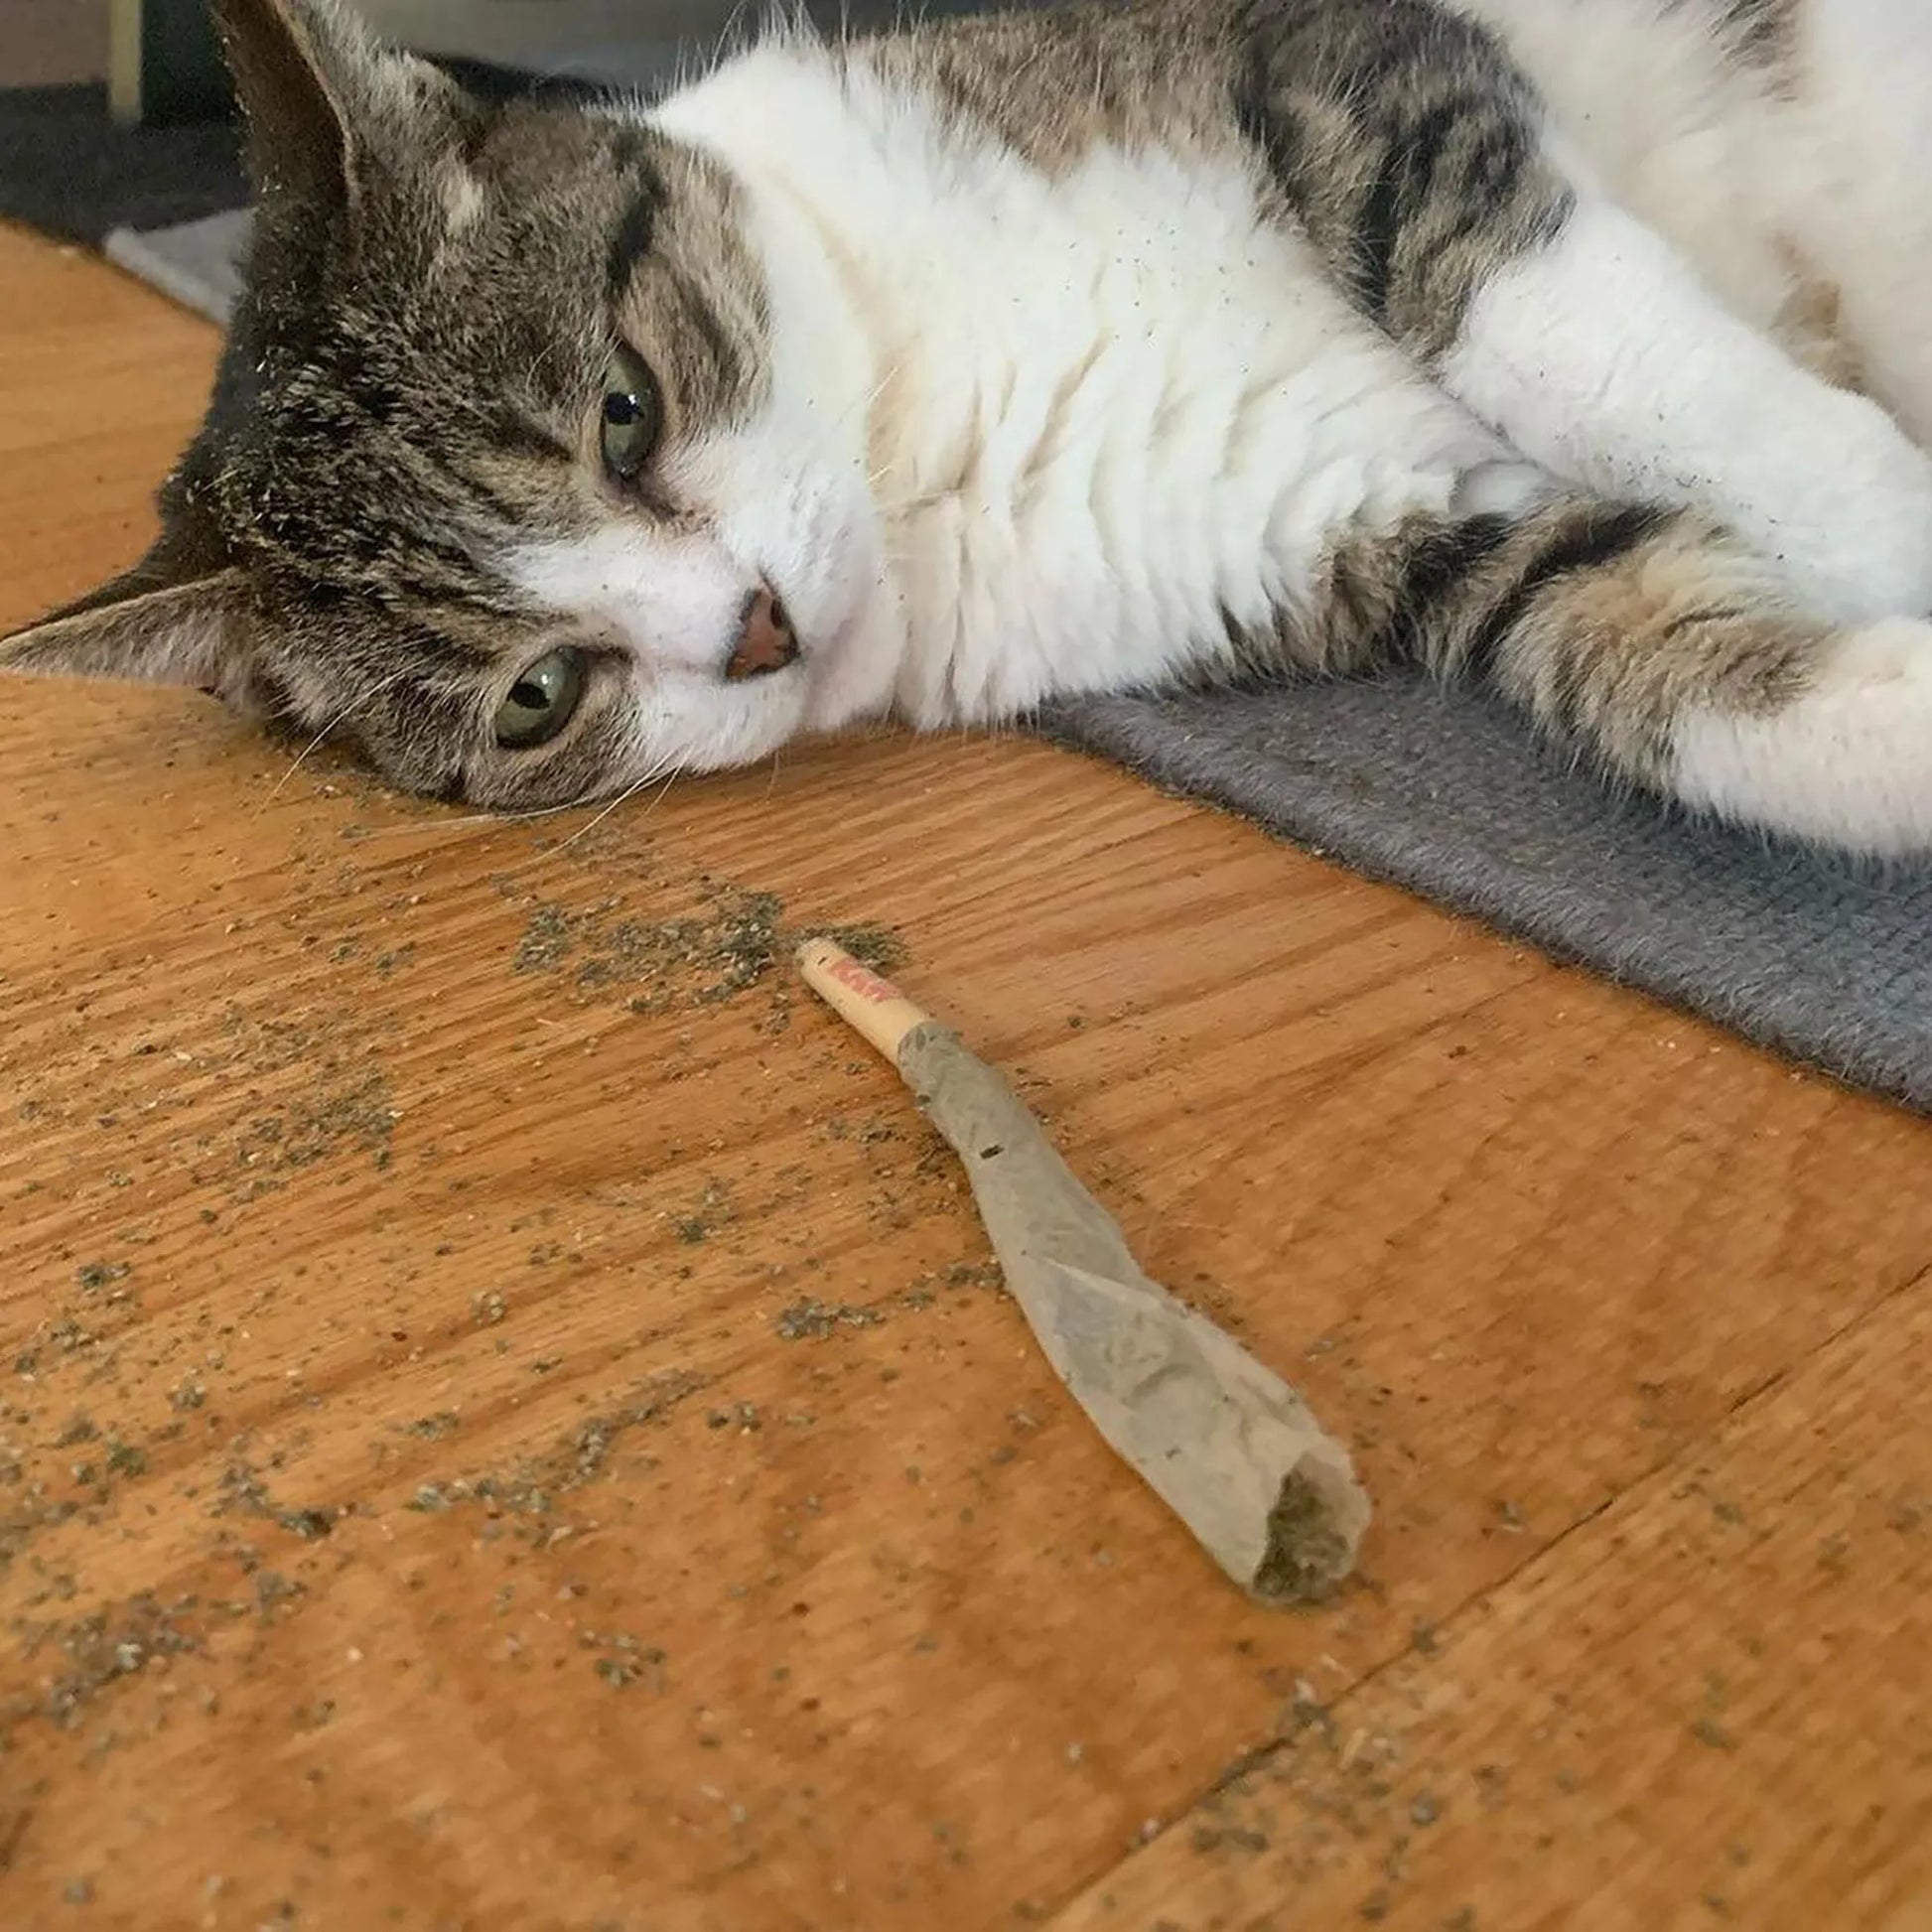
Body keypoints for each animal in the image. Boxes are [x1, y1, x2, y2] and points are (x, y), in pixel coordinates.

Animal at [3, 0, 1932, 854]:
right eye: (537, 697)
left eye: (625, 414)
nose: (756, 631)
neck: (924, 424)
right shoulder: (1402, 523)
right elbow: (1625, 641)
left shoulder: (1336, 67)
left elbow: (1573, 343)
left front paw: (1892, 519)